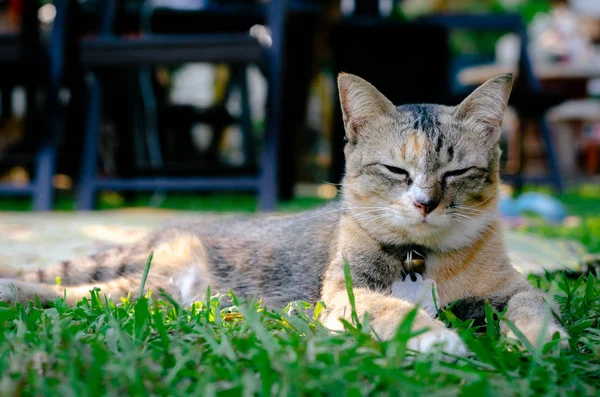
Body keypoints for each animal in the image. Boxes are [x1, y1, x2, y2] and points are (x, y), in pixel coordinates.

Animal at [0, 72, 564, 354]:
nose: (425, 203)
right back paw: (13, 290)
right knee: (73, 289)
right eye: (396, 171)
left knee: (86, 296)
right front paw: (434, 339)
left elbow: (534, 303)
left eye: (456, 173)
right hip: (137, 280)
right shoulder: (346, 297)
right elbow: (395, 312)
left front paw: (540, 339)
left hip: (149, 294)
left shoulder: (509, 289)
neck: (419, 257)